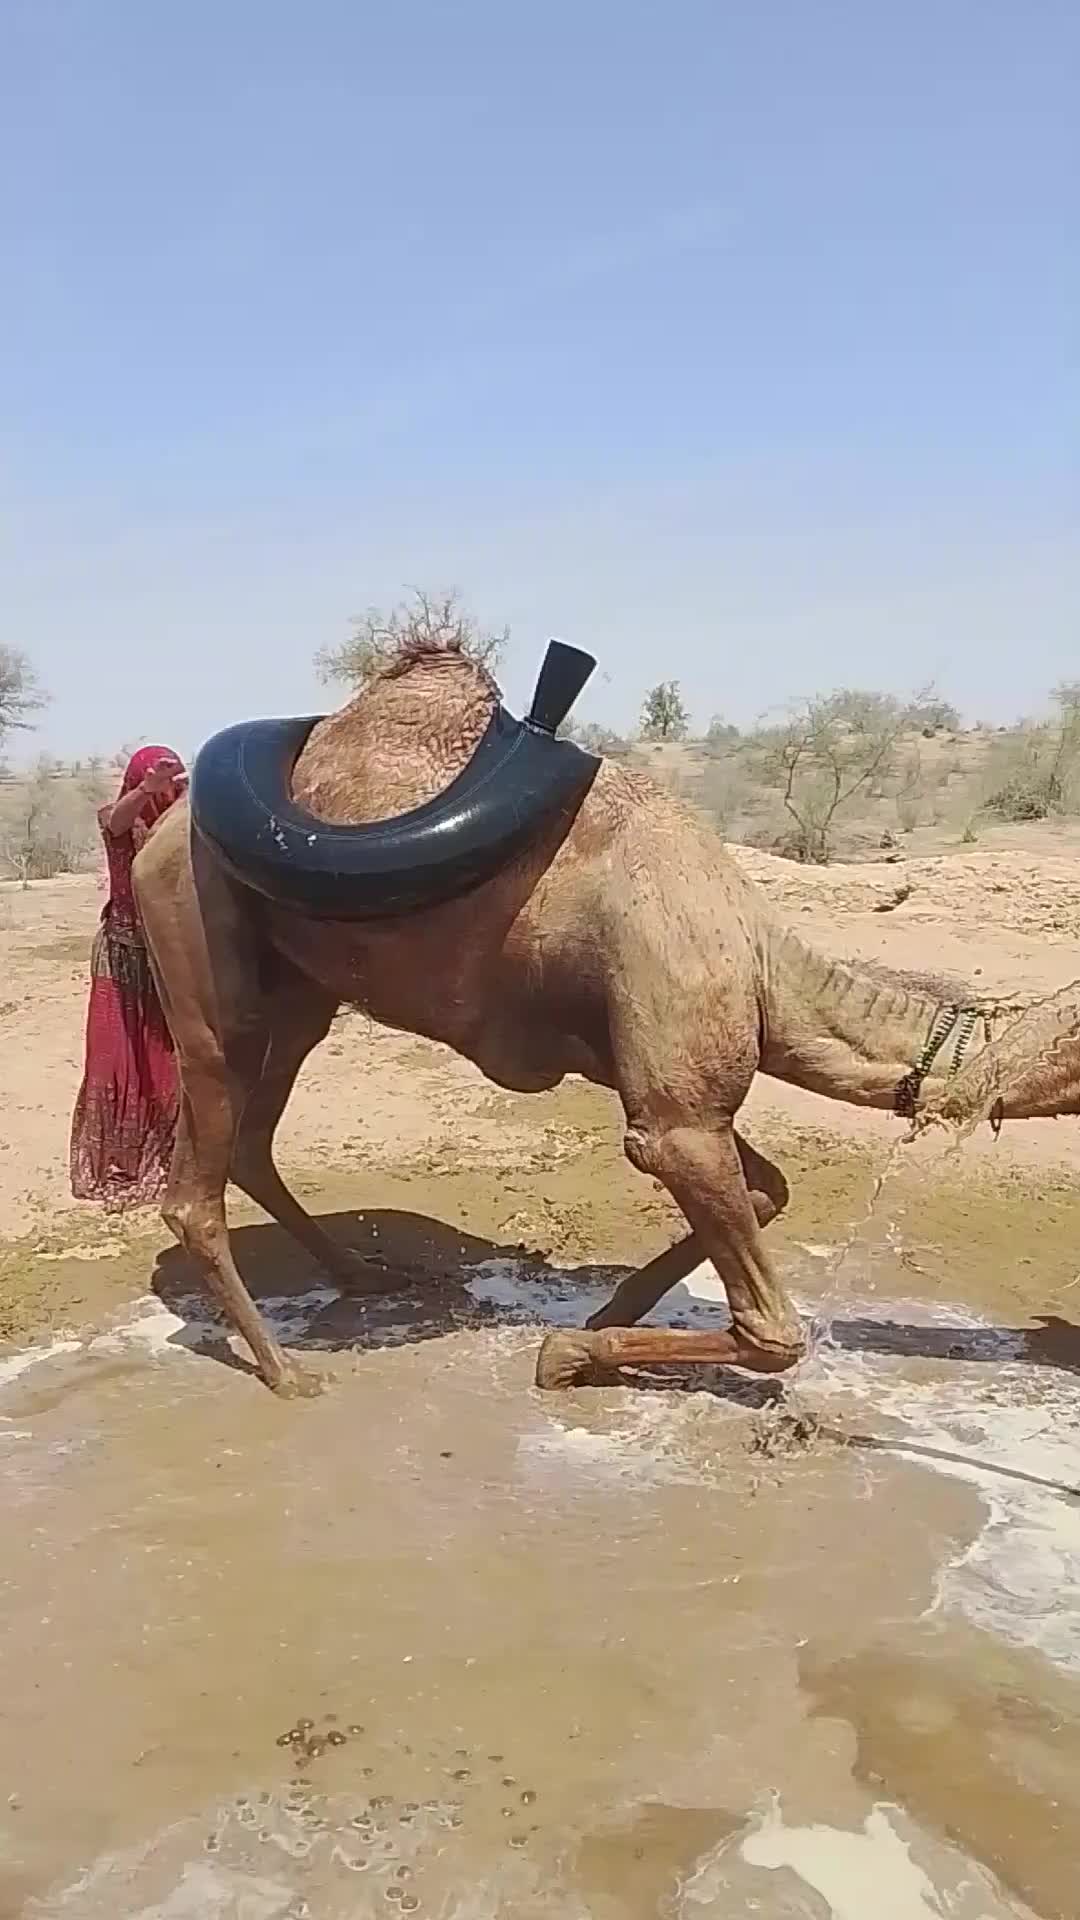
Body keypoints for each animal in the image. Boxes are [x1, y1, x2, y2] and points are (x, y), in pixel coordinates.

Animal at [133, 637, 1011, 1396]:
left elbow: (770, 1188)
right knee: (194, 1184)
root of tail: (156, 835)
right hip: (200, 953)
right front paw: (567, 1354)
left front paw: (606, 1317)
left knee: (253, 1139)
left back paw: (362, 1275)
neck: (763, 959)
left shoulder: (658, 1075)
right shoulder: (677, 1113)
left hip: (301, 996)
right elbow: (772, 1329)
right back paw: (286, 1371)